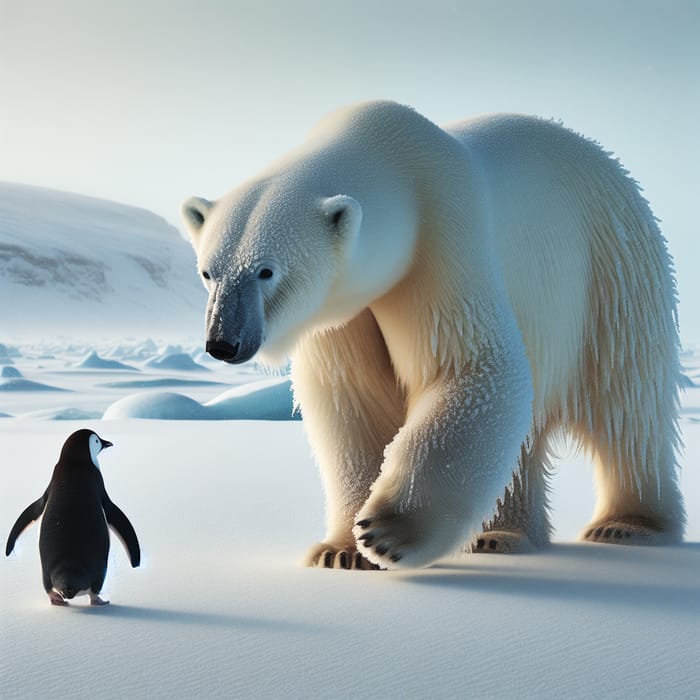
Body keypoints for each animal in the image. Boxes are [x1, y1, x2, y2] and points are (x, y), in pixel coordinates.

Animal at [180, 98, 684, 568]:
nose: (222, 343)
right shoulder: (342, 311)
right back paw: (498, 536)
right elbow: (351, 400)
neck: (393, 165)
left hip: (609, 275)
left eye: (265, 271)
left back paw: (626, 526)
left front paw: (386, 531)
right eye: (208, 272)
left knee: (626, 408)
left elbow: (470, 369)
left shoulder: (442, 240)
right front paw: (341, 551)